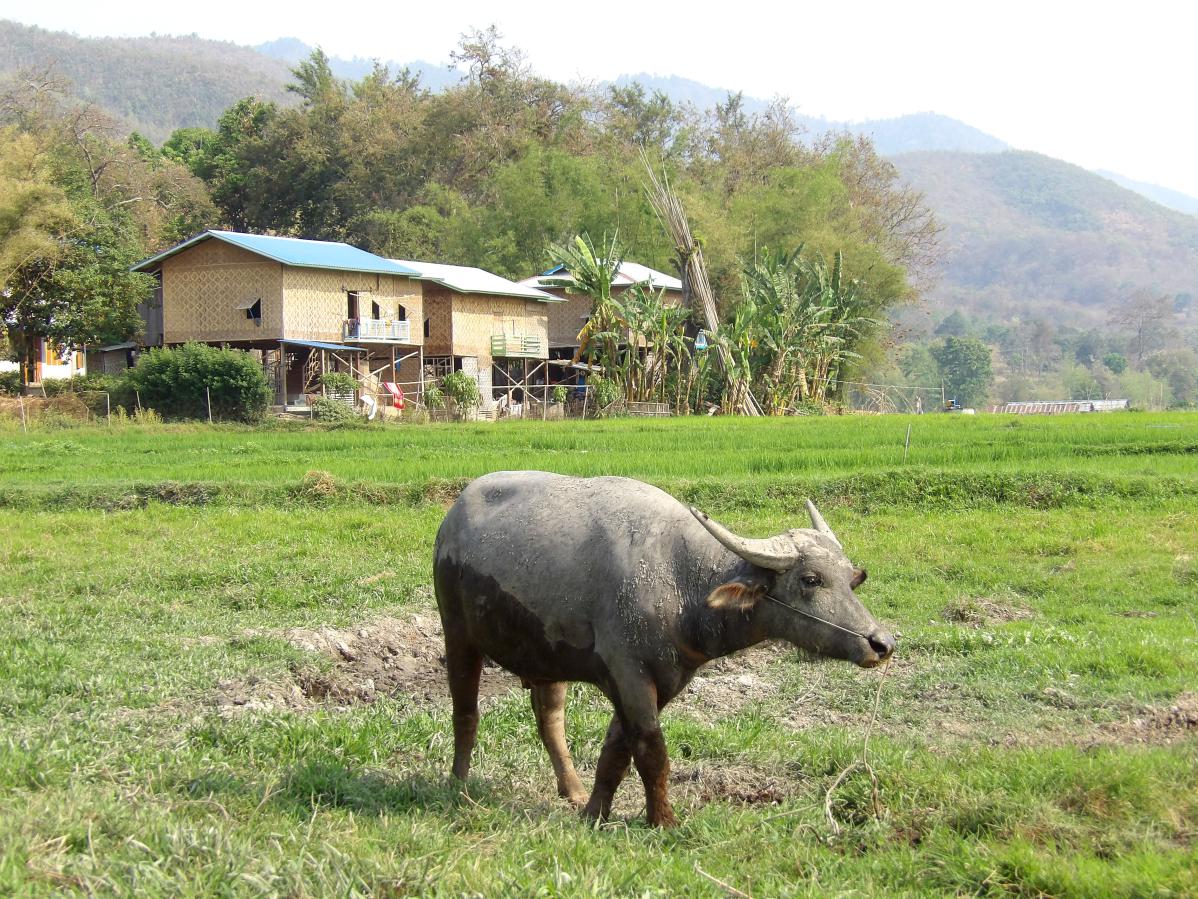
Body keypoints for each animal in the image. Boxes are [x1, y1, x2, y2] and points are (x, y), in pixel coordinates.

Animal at [431, 472, 891, 829]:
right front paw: (663, 821)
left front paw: (595, 813)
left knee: (550, 721)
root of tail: (453, 517)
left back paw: (572, 790)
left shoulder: (665, 679)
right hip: (458, 635)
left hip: (545, 656)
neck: (683, 583)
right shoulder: (630, 675)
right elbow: (653, 752)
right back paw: (458, 784)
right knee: (466, 713)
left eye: (850, 578)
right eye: (811, 580)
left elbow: (617, 750)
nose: (881, 643)